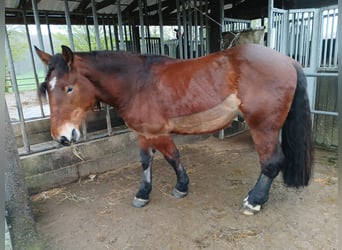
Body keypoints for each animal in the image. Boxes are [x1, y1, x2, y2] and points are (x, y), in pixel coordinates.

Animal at [34, 43, 312, 215]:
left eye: (69, 88)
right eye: (47, 87)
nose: (61, 137)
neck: (137, 83)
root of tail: (287, 60)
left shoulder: (158, 133)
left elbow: (172, 157)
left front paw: (181, 186)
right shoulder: (143, 133)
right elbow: (146, 161)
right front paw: (143, 193)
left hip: (263, 127)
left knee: (272, 162)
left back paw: (254, 201)